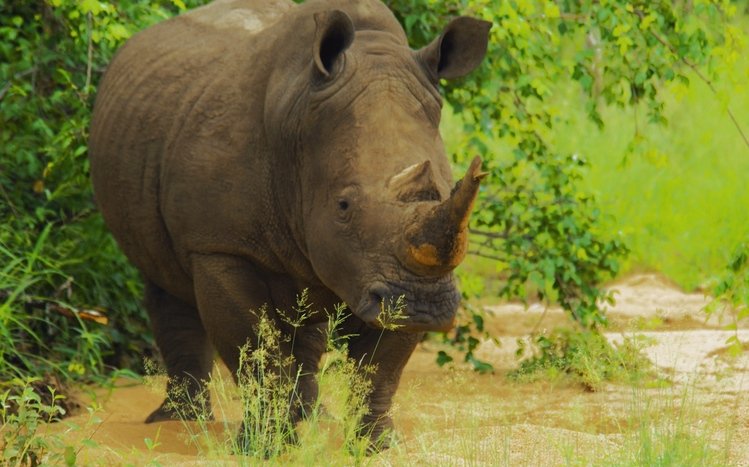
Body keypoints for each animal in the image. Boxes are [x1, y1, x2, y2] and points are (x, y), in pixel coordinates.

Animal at [89, 0, 490, 450]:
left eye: (445, 189)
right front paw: (263, 447)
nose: (424, 305)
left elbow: (381, 365)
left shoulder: (381, 270)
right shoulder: (218, 245)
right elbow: (253, 347)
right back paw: (178, 423)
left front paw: (376, 445)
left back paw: (309, 417)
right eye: (343, 205)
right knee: (164, 282)